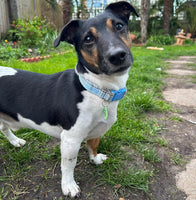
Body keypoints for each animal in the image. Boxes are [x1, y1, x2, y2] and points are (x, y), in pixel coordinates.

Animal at [0, 1, 138, 198]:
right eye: (88, 39)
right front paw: (68, 186)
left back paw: (15, 141)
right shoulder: (70, 139)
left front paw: (95, 159)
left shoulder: (95, 132)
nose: (117, 55)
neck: (95, 89)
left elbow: (93, 145)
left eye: (119, 26)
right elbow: (68, 164)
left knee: (4, 127)